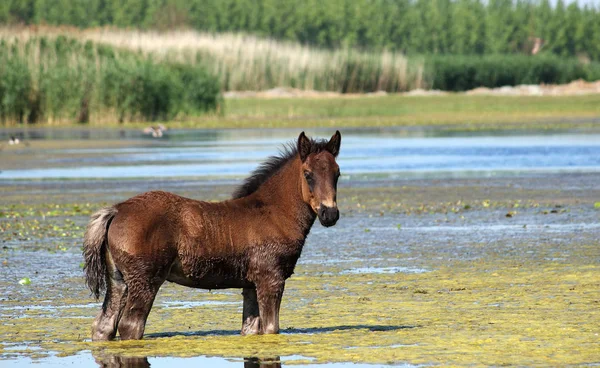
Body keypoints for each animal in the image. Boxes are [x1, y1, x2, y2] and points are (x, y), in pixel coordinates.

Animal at [83, 131, 342, 340]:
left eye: (337, 174)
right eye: (308, 174)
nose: (330, 214)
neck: (274, 213)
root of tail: (116, 210)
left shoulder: (250, 285)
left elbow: (250, 329)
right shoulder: (271, 279)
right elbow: (271, 329)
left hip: (118, 281)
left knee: (103, 326)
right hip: (144, 280)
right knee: (131, 326)